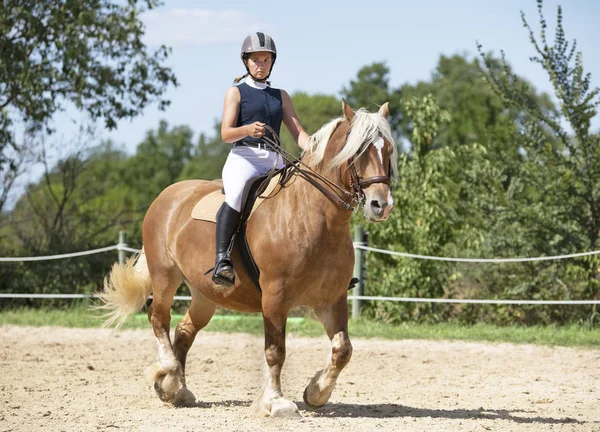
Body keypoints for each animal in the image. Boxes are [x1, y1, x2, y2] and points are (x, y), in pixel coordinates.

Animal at [98, 99, 398, 416]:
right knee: (159, 317)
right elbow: (275, 351)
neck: (313, 218)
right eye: (360, 150)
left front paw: (316, 392)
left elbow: (343, 350)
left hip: (205, 294)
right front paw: (276, 401)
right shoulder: (275, 298)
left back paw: (174, 388)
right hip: (165, 275)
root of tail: (167, 196)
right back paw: (167, 370)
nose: (381, 205)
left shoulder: (332, 299)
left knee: (185, 329)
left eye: (389, 150)